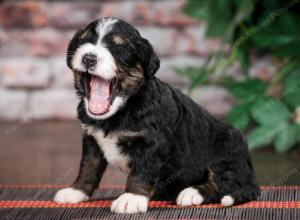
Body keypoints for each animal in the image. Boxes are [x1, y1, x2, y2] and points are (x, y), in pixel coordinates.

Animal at [54, 17, 260, 215]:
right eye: (83, 41)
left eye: (119, 47)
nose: (89, 58)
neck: (123, 108)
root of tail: (251, 174)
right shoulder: (91, 139)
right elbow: (88, 166)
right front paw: (76, 190)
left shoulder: (152, 142)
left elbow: (141, 171)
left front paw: (131, 198)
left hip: (228, 149)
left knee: (224, 183)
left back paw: (192, 192)